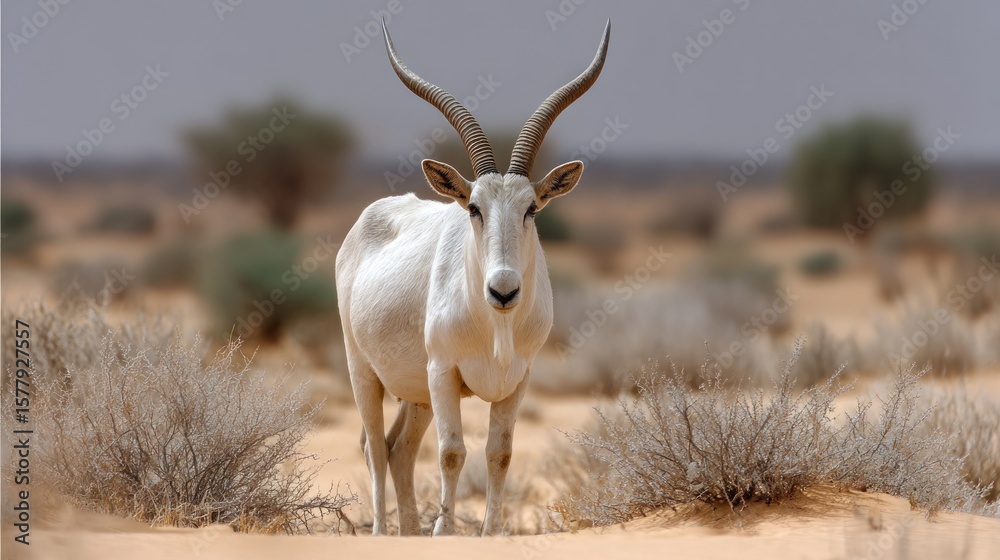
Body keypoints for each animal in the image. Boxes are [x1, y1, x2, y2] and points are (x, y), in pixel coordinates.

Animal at [336, 19, 610, 536]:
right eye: (474, 208)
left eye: (531, 208)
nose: (503, 290)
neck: (495, 324)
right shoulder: (444, 373)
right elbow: (451, 453)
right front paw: (445, 533)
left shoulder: (518, 380)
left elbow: (499, 454)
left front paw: (489, 533)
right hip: (366, 371)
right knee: (374, 448)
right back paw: (383, 532)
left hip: (416, 393)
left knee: (398, 450)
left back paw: (409, 533)